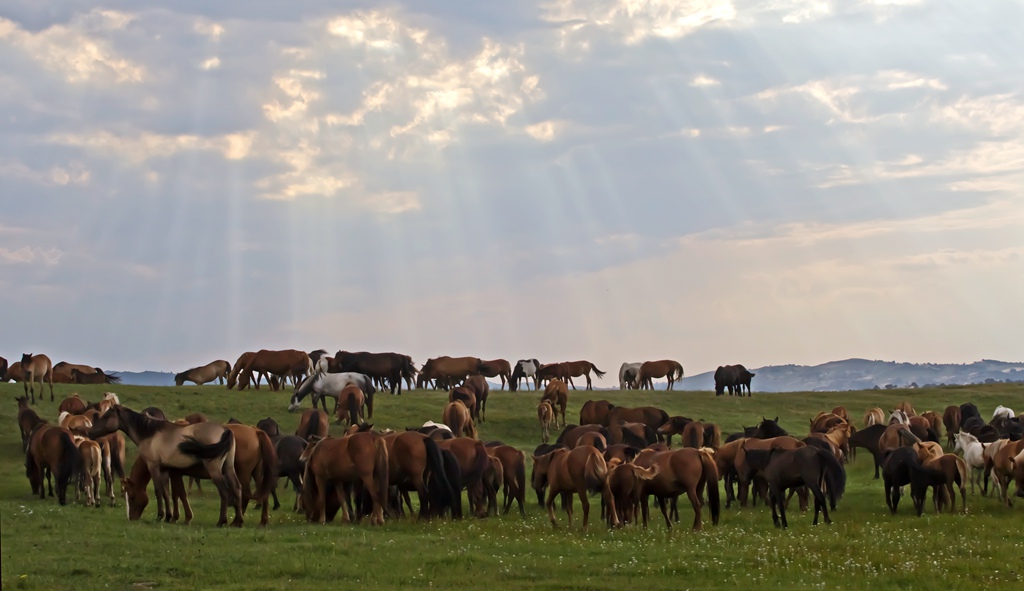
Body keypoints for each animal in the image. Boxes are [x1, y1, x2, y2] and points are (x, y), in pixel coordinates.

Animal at [88, 405, 243, 524]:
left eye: (106, 417)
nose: (90, 432)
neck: (150, 434)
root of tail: (226, 430)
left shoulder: (154, 466)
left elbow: (159, 491)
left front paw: (160, 515)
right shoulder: (165, 471)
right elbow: (167, 493)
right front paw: (169, 516)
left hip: (215, 471)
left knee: (224, 491)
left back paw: (222, 521)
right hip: (228, 468)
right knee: (237, 488)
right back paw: (238, 521)